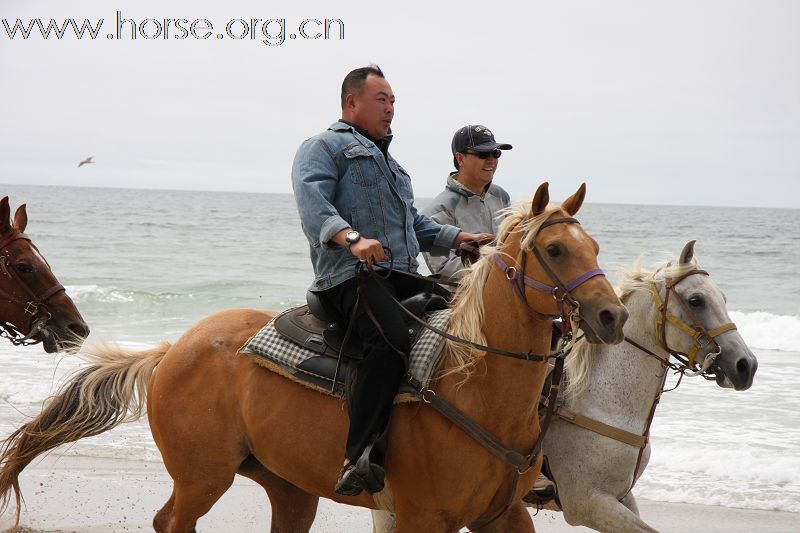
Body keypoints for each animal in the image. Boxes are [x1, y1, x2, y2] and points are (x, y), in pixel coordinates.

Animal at [372, 241, 760, 532]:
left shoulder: (620, 497)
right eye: (696, 300)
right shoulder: (587, 502)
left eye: (723, 297)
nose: (746, 366)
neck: (602, 400)